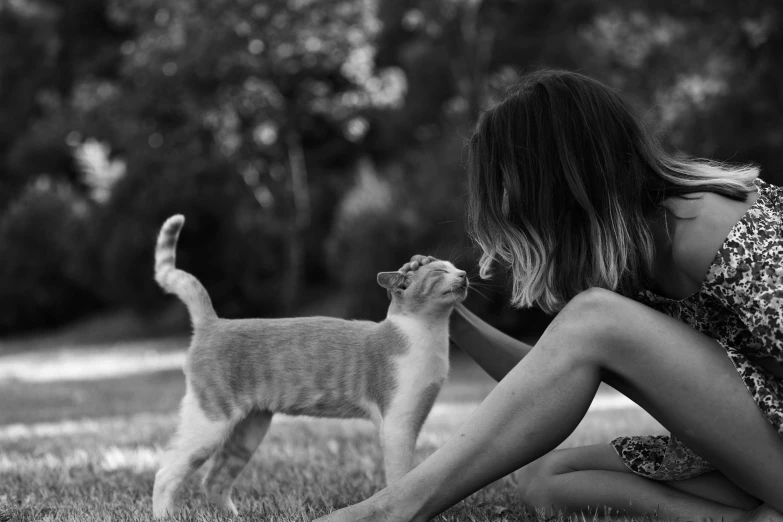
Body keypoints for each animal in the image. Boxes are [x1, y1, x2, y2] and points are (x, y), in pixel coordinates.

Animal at [151, 213, 468, 512]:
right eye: (440, 272)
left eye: (453, 267)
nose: (465, 273)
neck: (426, 333)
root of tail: (213, 323)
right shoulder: (397, 425)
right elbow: (401, 477)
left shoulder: (415, 419)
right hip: (210, 422)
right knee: (165, 474)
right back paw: (165, 514)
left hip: (247, 432)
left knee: (214, 480)